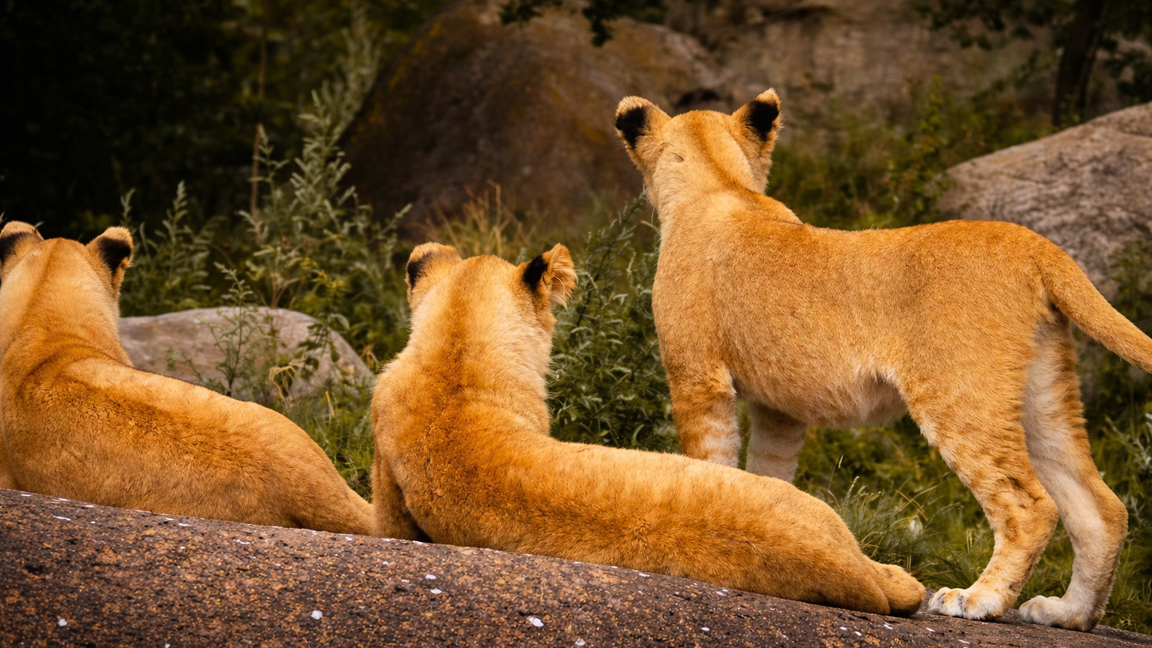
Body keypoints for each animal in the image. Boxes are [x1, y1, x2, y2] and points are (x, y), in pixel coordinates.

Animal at [612, 90, 1152, 630]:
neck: (719, 182)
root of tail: (1034, 244)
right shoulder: (780, 407)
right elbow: (769, 475)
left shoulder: (697, 377)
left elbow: (710, 463)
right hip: (1041, 392)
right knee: (1101, 507)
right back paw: (1067, 613)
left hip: (960, 395)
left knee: (1030, 505)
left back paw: (978, 599)